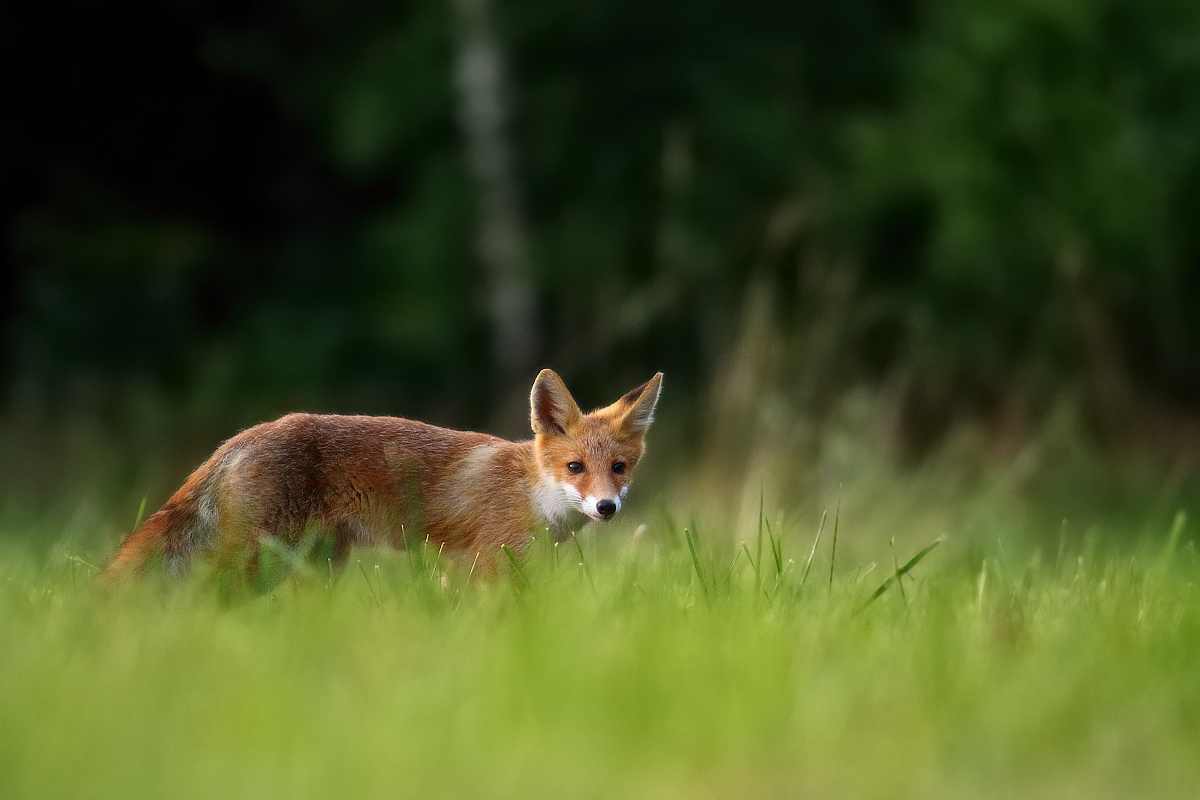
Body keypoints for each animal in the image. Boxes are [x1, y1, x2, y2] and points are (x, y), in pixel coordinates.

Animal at [103, 367, 662, 582]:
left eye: (619, 468)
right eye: (575, 468)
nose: (607, 507)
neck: (531, 494)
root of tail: (245, 434)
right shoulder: (491, 560)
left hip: (316, 565)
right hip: (260, 561)